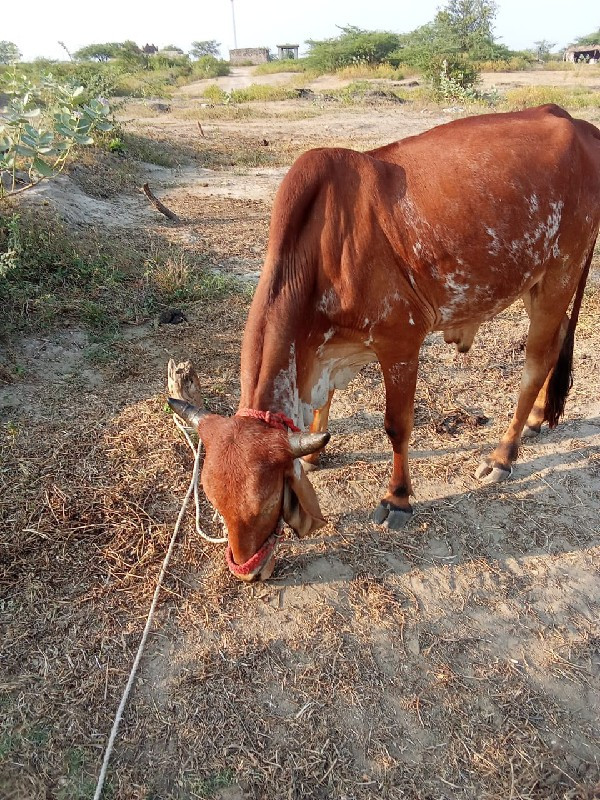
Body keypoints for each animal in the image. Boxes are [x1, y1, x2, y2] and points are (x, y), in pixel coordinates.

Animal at [169, 106, 600, 580]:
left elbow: (397, 426)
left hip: (561, 273)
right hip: (533, 283)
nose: (249, 572)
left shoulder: (400, 343)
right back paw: (539, 417)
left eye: (264, 502)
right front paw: (314, 454)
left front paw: (398, 499)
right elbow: (323, 404)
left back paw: (503, 454)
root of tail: (577, 123)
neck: (323, 247)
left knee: (536, 363)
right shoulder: (326, 352)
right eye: (212, 500)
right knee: (556, 344)